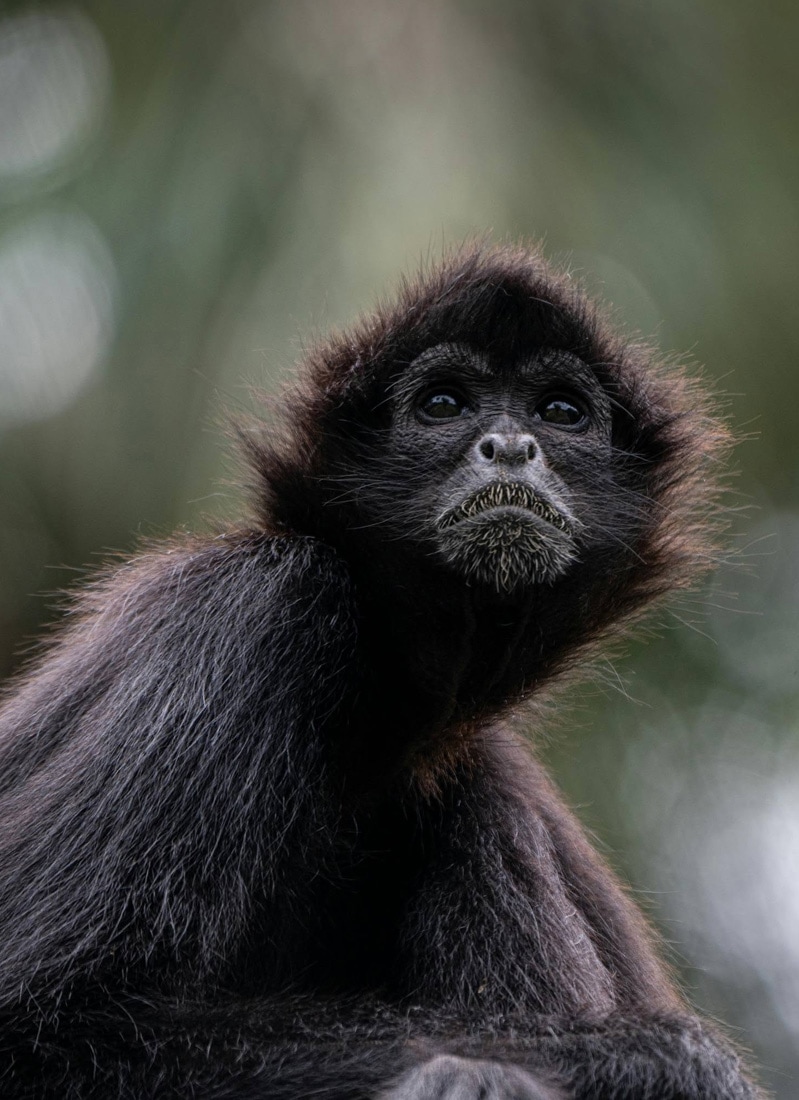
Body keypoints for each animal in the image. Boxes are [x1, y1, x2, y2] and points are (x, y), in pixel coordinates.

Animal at [0, 242, 760, 1099]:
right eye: (443, 404)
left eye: (559, 413)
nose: (508, 446)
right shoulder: (250, 606)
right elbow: (45, 1028)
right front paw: (662, 1061)